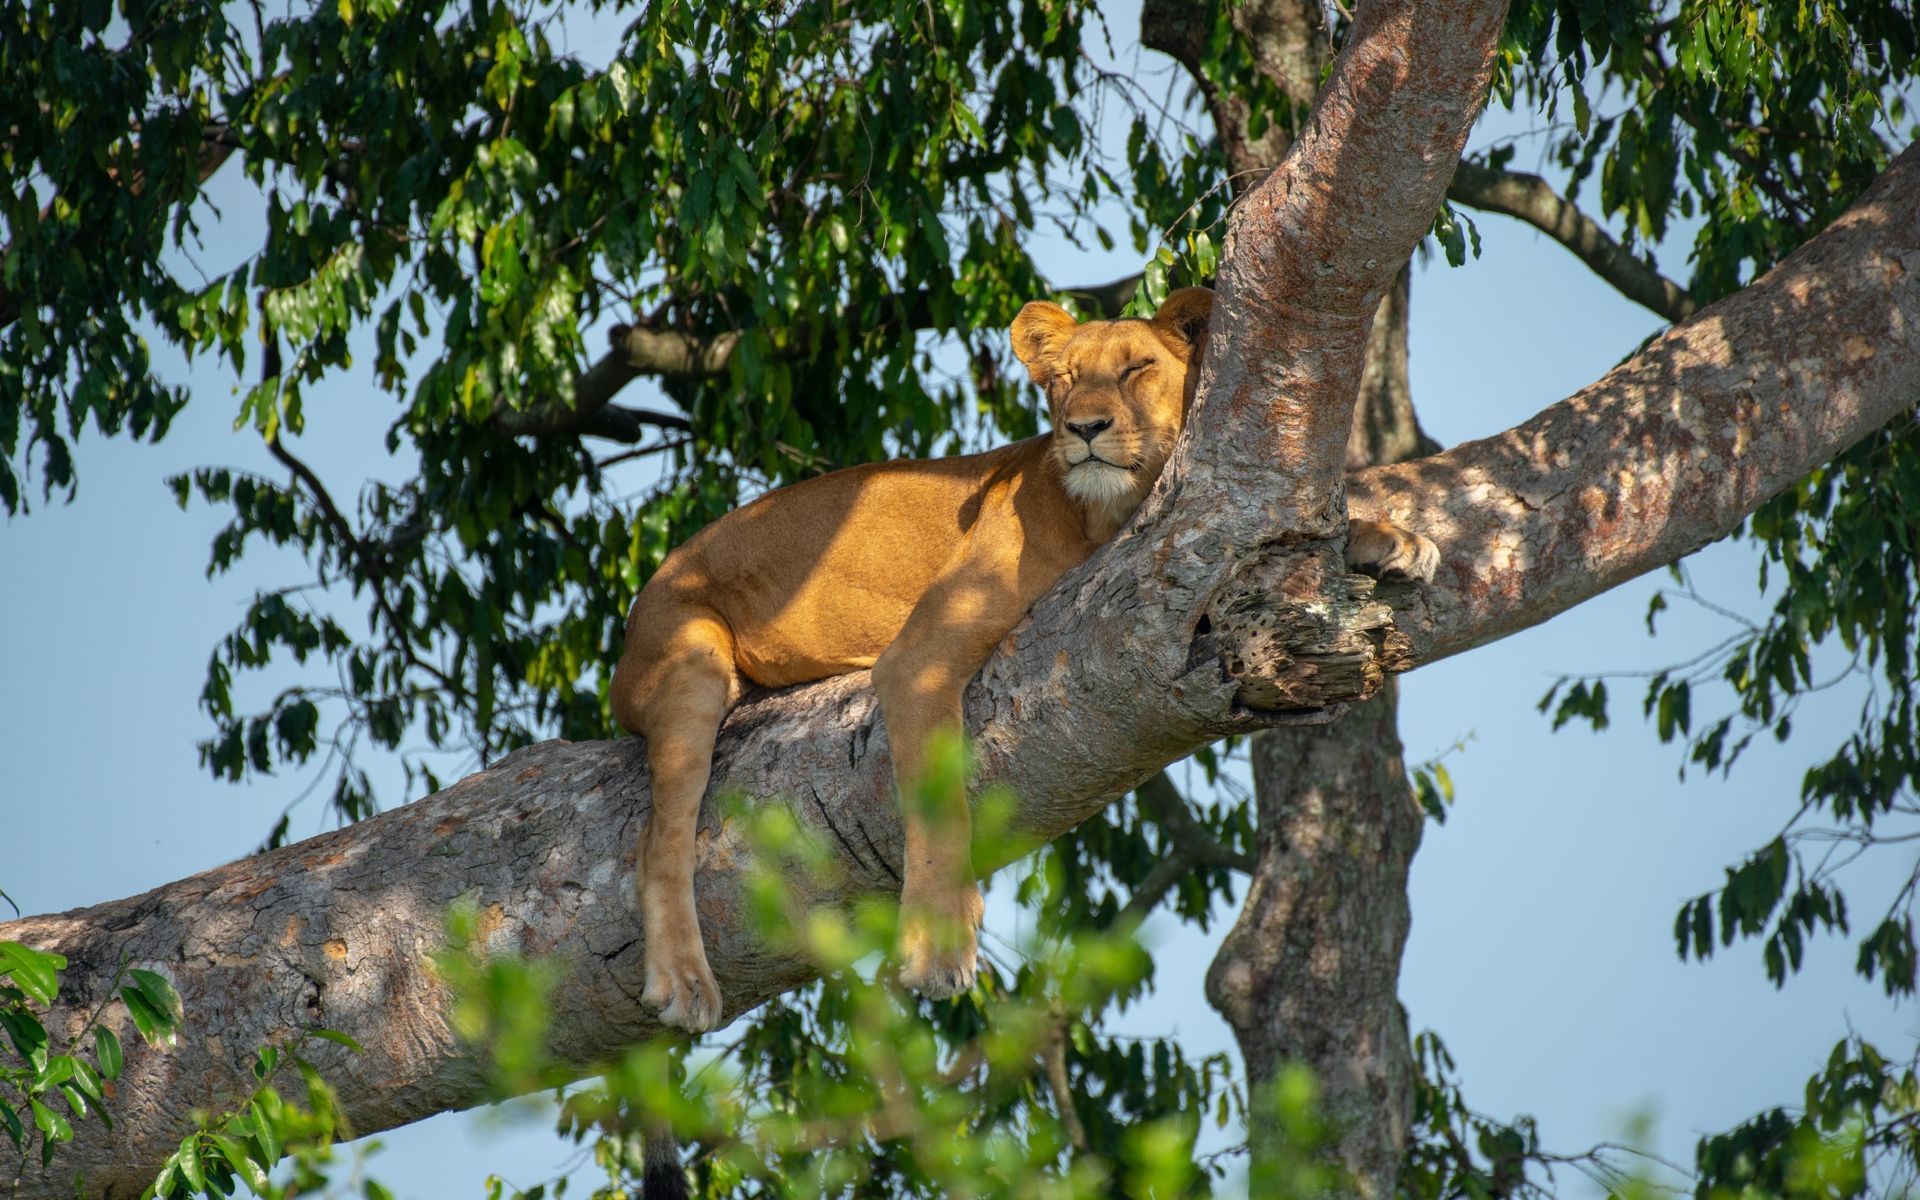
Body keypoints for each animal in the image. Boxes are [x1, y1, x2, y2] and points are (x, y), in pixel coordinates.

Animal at [610, 286, 1439, 1032]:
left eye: (1137, 368)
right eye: (1066, 377)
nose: (1086, 427)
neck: (1107, 513)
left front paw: (1392, 538)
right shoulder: (919, 655)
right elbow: (937, 803)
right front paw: (938, 945)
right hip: (689, 659)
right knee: (658, 840)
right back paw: (684, 980)